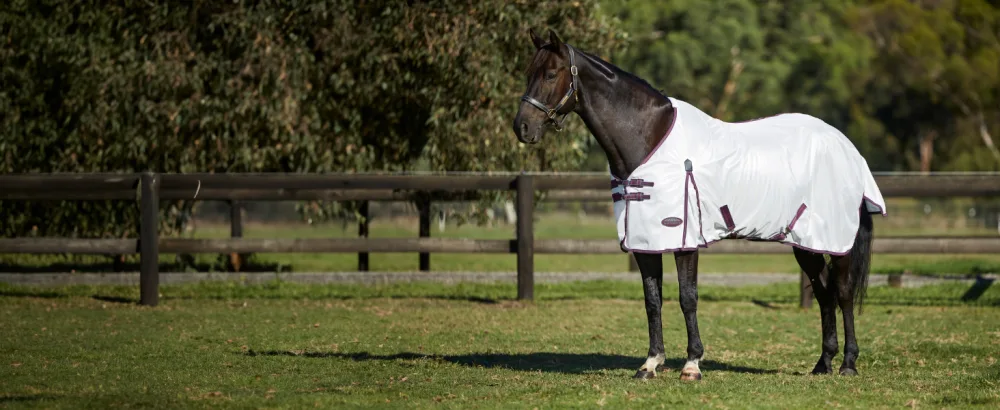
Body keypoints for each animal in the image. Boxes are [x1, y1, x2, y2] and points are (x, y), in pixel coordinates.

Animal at [512, 29, 886, 381]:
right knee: (824, 293)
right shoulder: (645, 243)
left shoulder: (685, 240)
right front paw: (650, 364)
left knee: (843, 292)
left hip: (836, 240)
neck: (649, 137)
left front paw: (692, 365)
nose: (522, 127)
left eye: (551, 73)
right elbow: (652, 300)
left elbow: (687, 297)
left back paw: (848, 364)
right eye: (528, 72)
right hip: (804, 242)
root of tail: (846, 147)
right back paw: (822, 363)